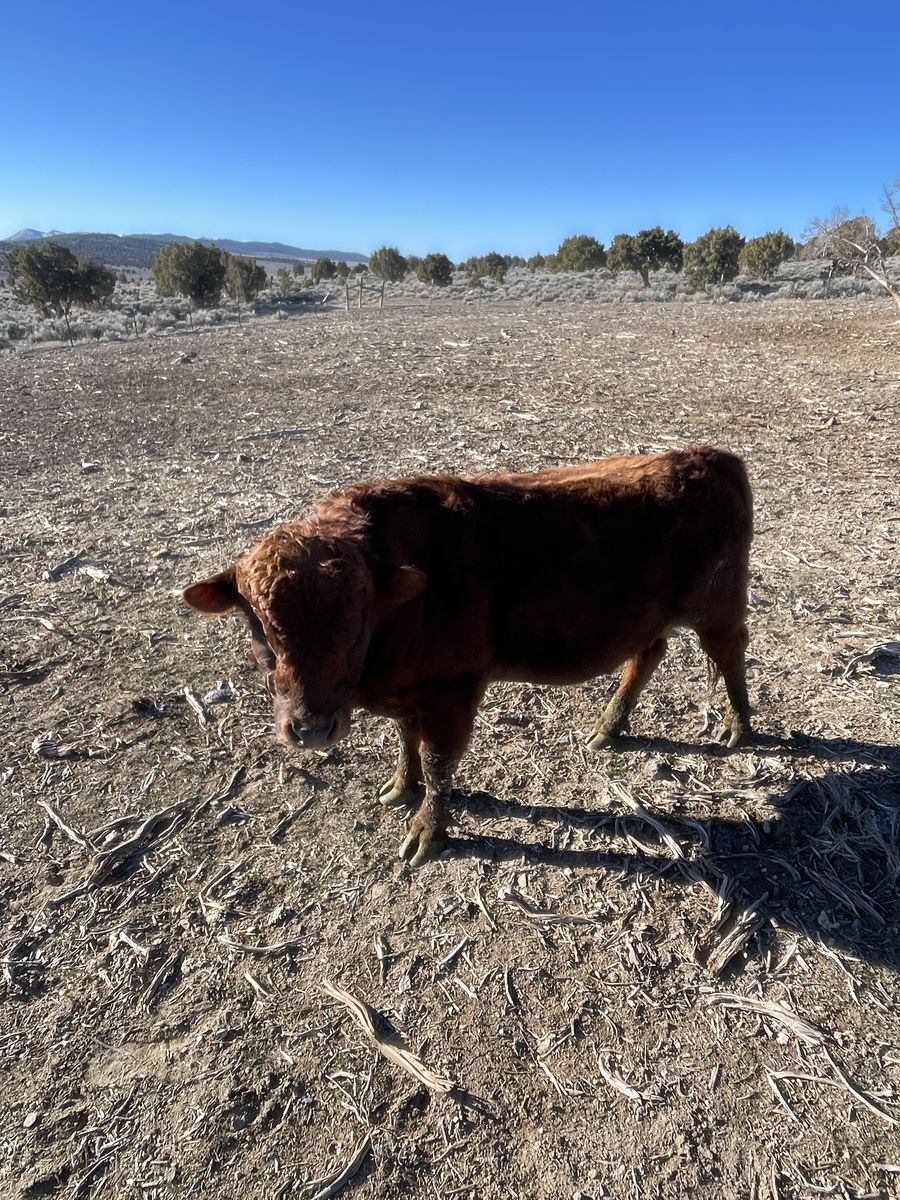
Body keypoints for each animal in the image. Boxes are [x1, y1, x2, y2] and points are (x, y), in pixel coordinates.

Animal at [184, 445, 753, 866]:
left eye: (355, 619)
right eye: (258, 626)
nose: (311, 729)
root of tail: (712, 456)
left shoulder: (452, 691)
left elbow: (438, 762)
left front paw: (427, 834)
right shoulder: (411, 693)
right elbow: (407, 740)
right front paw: (400, 786)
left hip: (718, 609)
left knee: (729, 655)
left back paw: (737, 726)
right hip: (650, 621)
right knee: (647, 655)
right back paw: (609, 728)